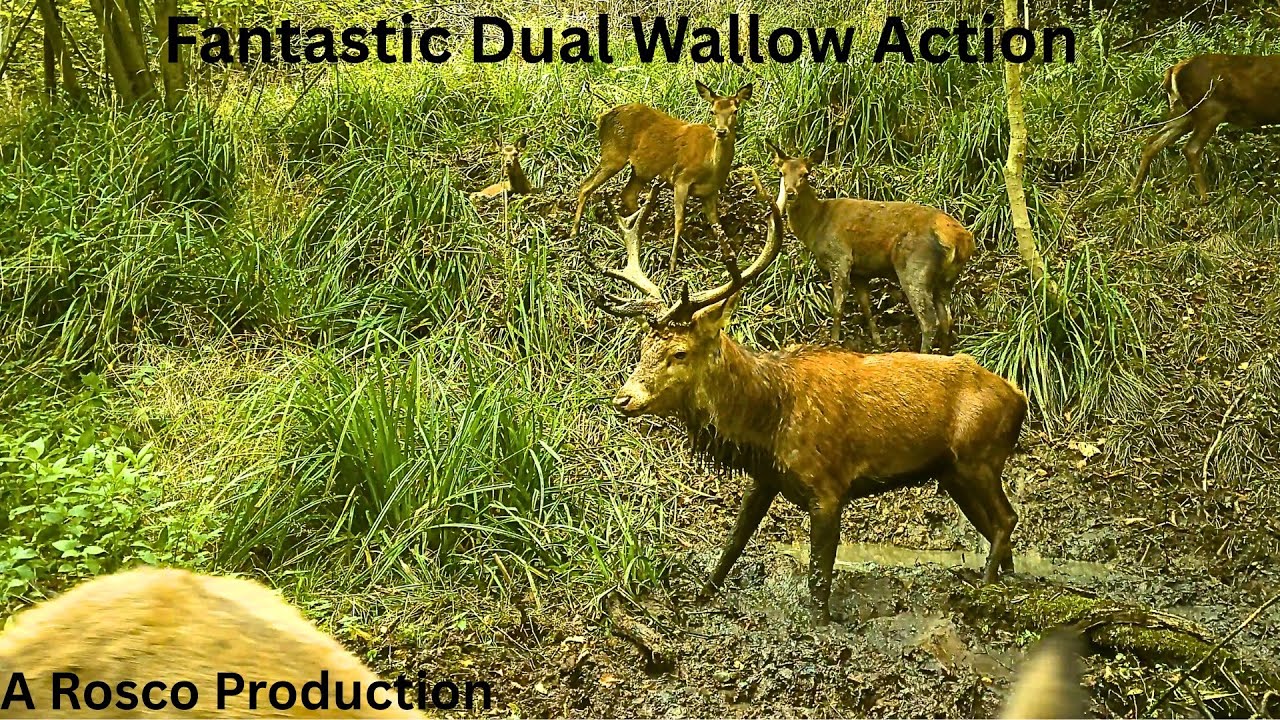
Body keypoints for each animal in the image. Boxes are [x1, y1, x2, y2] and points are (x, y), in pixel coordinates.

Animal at [570, 80, 753, 273]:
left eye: (735, 110)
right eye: (712, 111)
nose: (721, 131)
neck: (711, 164)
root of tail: (602, 118)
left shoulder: (710, 192)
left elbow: (718, 227)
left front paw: (730, 258)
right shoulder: (681, 179)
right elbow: (679, 221)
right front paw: (672, 264)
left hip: (640, 170)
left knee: (627, 194)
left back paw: (641, 231)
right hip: (613, 154)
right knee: (586, 185)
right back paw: (575, 232)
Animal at [580, 189, 1025, 625]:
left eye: (679, 352)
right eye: (642, 346)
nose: (623, 398)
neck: (768, 418)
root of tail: (1018, 398)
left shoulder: (829, 486)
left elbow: (819, 576)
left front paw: (819, 624)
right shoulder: (765, 477)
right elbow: (734, 540)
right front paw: (703, 594)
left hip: (979, 458)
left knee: (1007, 520)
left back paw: (986, 590)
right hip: (953, 471)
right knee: (995, 526)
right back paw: (1006, 581)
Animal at [766, 141, 974, 353]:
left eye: (805, 173)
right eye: (781, 172)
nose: (790, 193)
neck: (815, 225)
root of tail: (961, 240)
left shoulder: (840, 257)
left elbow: (838, 306)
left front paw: (834, 341)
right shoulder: (860, 272)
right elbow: (866, 307)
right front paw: (877, 341)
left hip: (915, 269)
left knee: (929, 322)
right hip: (947, 280)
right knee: (947, 320)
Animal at [1131, 54, 1280, 201]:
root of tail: (1172, 71)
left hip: (1182, 112)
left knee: (1153, 142)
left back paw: (1134, 190)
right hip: (1209, 109)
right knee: (1191, 148)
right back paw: (1206, 197)